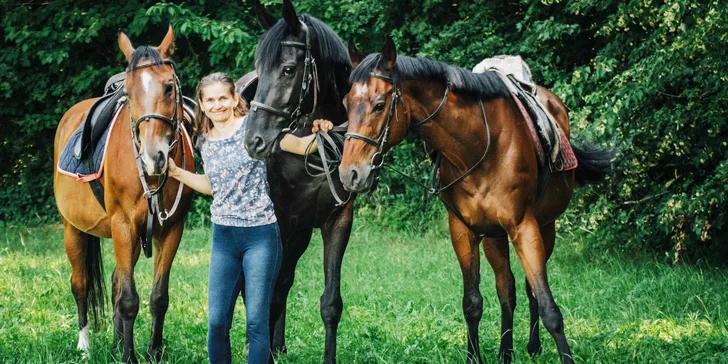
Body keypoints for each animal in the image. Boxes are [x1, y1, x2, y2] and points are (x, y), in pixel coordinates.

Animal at [53, 24, 195, 362]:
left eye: (169, 87)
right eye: (128, 94)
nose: (154, 157)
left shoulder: (171, 229)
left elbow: (157, 297)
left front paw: (152, 352)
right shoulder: (123, 226)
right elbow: (129, 299)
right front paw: (129, 356)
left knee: (117, 282)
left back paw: (116, 343)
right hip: (73, 229)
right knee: (81, 284)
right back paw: (85, 345)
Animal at [245, 1, 362, 362]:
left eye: (288, 69)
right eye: (259, 68)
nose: (254, 140)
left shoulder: (337, 220)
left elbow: (331, 303)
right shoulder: (280, 222)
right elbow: (266, 292)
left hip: (300, 233)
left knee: (284, 281)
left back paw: (278, 344)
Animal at [338, 35, 612, 362]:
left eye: (379, 105)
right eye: (346, 104)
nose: (350, 174)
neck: (477, 146)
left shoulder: (524, 227)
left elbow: (549, 308)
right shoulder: (463, 231)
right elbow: (472, 303)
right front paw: (475, 356)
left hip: (546, 227)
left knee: (528, 290)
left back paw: (532, 346)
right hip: (495, 236)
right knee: (507, 289)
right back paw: (506, 352)